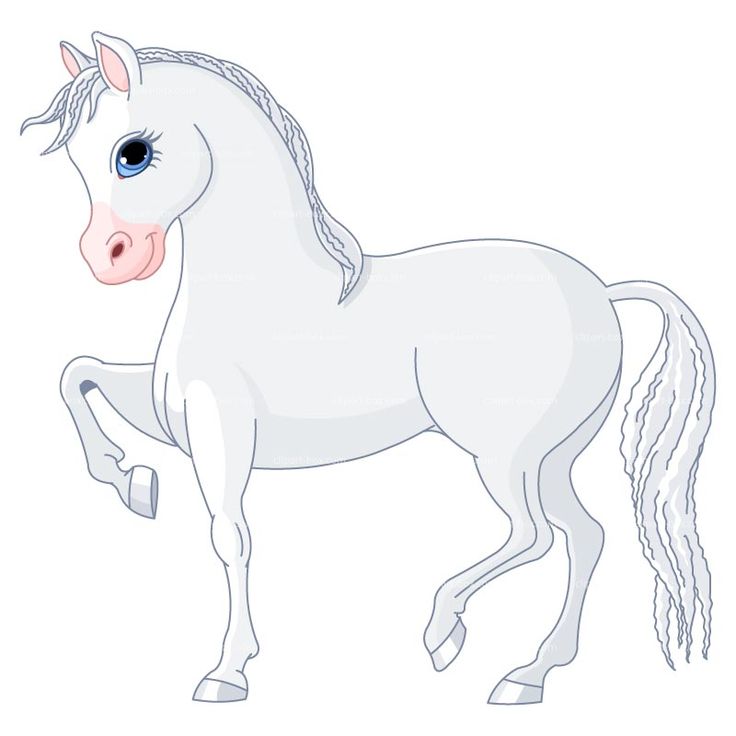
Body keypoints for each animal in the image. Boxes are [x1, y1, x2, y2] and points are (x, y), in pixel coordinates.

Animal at [22, 32, 715, 705]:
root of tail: (602, 292)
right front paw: (134, 484)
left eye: (133, 152)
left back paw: (446, 633)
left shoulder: (220, 427)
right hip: (552, 457)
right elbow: (77, 373)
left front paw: (226, 675)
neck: (254, 289)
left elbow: (230, 534)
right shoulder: (176, 417)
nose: (107, 259)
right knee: (585, 534)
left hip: (504, 454)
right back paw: (529, 676)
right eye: (77, 159)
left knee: (535, 534)